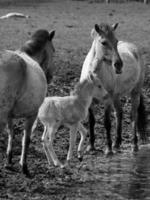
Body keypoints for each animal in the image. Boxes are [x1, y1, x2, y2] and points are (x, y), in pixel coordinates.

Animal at [0, 28, 55, 175]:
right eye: (53, 51)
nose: (50, 77)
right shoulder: (32, 114)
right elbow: (26, 140)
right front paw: (24, 166)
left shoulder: (9, 116)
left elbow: (11, 134)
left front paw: (9, 161)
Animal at [80, 23, 147, 155]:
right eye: (104, 42)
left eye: (116, 41)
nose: (119, 65)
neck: (94, 76)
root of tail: (134, 48)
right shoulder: (89, 101)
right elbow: (91, 121)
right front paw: (91, 147)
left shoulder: (107, 101)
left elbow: (107, 122)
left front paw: (108, 149)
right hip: (116, 96)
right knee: (119, 113)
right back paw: (117, 144)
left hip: (134, 93)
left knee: (133, 115)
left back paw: (134, 145)